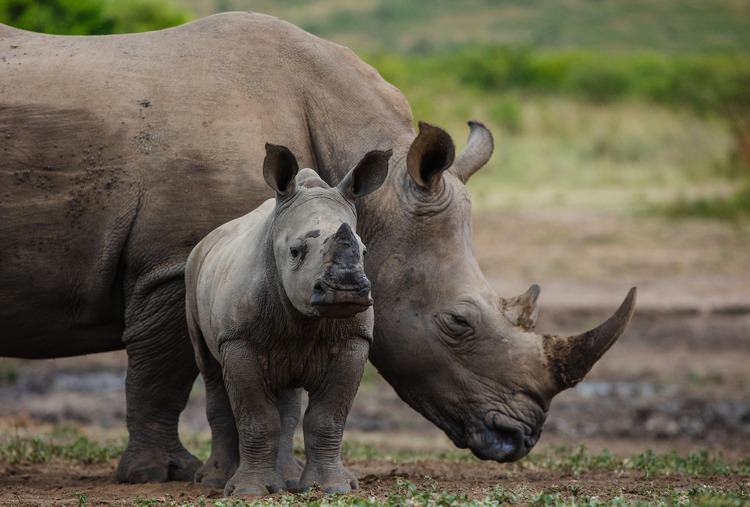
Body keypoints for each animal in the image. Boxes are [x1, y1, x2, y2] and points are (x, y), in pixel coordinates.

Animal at [185, 143, 390, 496]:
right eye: (295, 251)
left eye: (364, 252)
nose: (345, 289)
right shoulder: (238, 340)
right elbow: (257, 418)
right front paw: (248, 491)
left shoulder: (354, 339)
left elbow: (327, 417)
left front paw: (334, 487)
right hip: (192, 269)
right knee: (209, 370)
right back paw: (216, 480)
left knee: (287, 399)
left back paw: (287, 480)